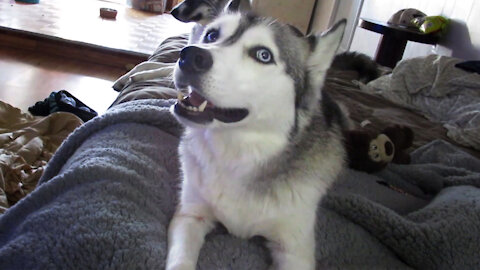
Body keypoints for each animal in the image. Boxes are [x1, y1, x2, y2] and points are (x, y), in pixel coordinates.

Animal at [167, 10, 346, 268]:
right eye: (212, 35)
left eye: (263, 55)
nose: (190, 56)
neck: (237, 152)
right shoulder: (190, 215)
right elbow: (180, 260)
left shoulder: (294, 250)